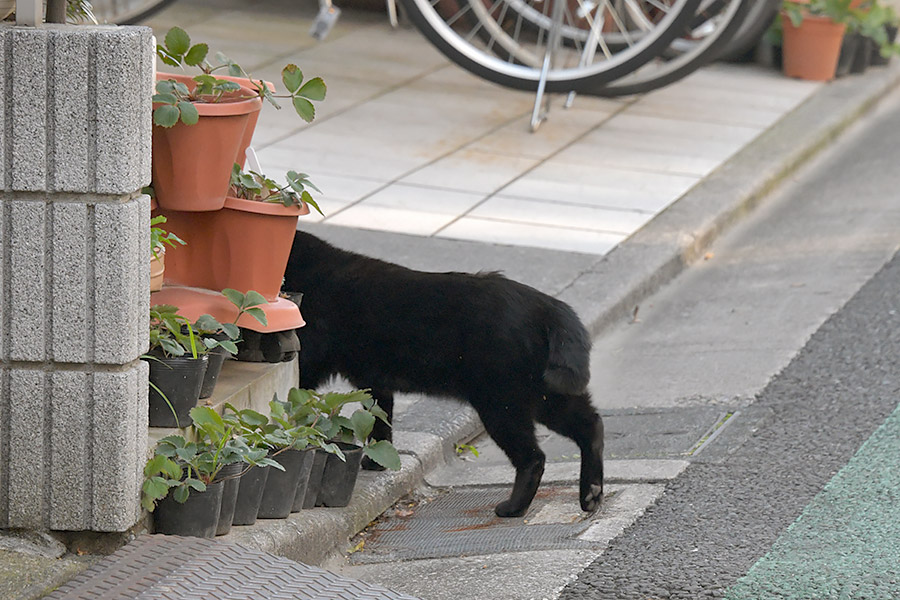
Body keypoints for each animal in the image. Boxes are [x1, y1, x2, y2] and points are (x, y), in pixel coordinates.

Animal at [284, 230, 604, 516]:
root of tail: (548, 305)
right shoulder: (372, 380)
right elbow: (380, 418)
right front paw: (378, 461)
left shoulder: (309, 359)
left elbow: (295, 396)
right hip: (547, 395)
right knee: (591, 425)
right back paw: (591, 493)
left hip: (502, 405)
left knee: (533, 457)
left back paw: (514, 508)